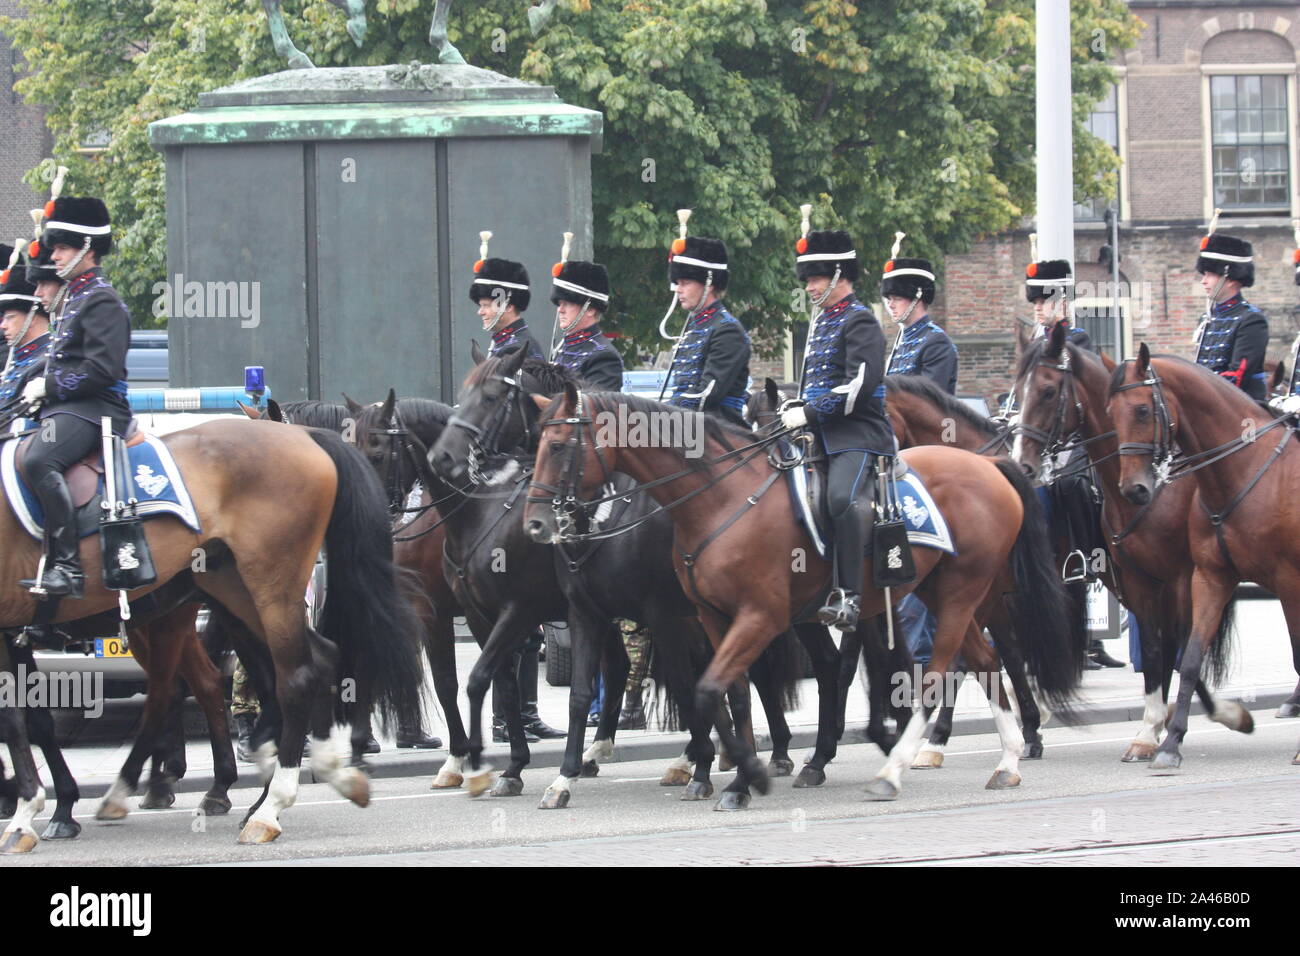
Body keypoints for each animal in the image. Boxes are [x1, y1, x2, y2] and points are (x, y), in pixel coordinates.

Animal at [0, 416, 421, 848]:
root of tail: (302, 434)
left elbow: (19, 718)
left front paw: (33, 809)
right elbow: (26, 715)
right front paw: (37, 803)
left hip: (255, 594)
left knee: (282, 679)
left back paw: (265, 804)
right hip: (230, 595)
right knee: (298, 664)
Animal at [522, 385, 1081, 806]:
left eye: (559, 446)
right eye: (535, 441)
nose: (534, 523)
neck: (719, 498)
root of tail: (990, 466)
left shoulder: (751, 616)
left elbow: (705, 689)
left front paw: (741, 773)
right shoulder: (708, 617)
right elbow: (729, 695)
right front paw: (741, 775)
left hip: (962, 591)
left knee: (937, 673)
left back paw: (894, 767)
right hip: (940, 593)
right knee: (984, 661)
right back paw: (1005, 759)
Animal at [1013, 329, 1248, 764]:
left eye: (1049, 391)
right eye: (1017, 392)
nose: (1022, 464)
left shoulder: (1182, 578)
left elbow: (1180, 648)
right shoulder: (1139, 581)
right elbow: (1157, 650)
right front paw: (1151, 728)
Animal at [1107, 348, 1300, 775]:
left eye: (1142, 410)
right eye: (1110, 412)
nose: (1134, 489)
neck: (1245, 467)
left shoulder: (1288, 583)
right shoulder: (1210, 578)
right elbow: (1191, 658)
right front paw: (1170, 744)